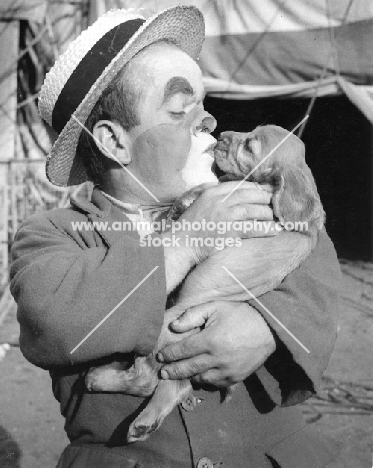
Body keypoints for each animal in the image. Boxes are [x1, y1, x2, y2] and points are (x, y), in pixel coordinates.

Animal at [85, 124, 324, 442]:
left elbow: (206, 189)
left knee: (146, 379)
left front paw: (179, 206)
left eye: (249, 146)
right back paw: (142, 422)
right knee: (173, 385)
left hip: (160, 330)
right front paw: (175, 208)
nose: (221, 136)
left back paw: (99, 380)